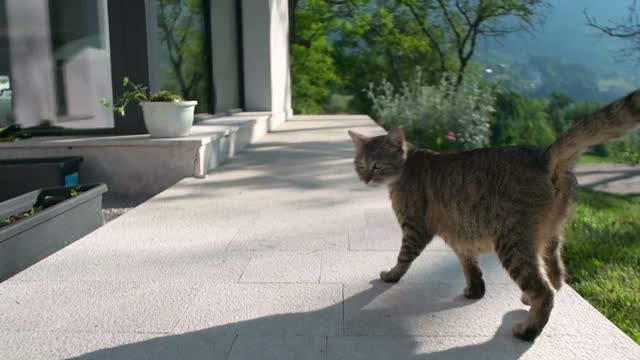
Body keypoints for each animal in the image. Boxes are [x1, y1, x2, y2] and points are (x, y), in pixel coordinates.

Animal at [350, 88, 640, 342]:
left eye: (377, 166)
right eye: (360, 165)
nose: (365, 178)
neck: (406, 166)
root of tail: (542, 157)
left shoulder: (415, 228)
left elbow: (403, 258)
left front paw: (391, 275)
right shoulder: (460, 234)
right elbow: (470, 266)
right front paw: (474, 290)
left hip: (512, 243)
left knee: (545, 291)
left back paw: (527, 330)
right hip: (548, 238)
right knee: (557, 276)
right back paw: (530, 300)